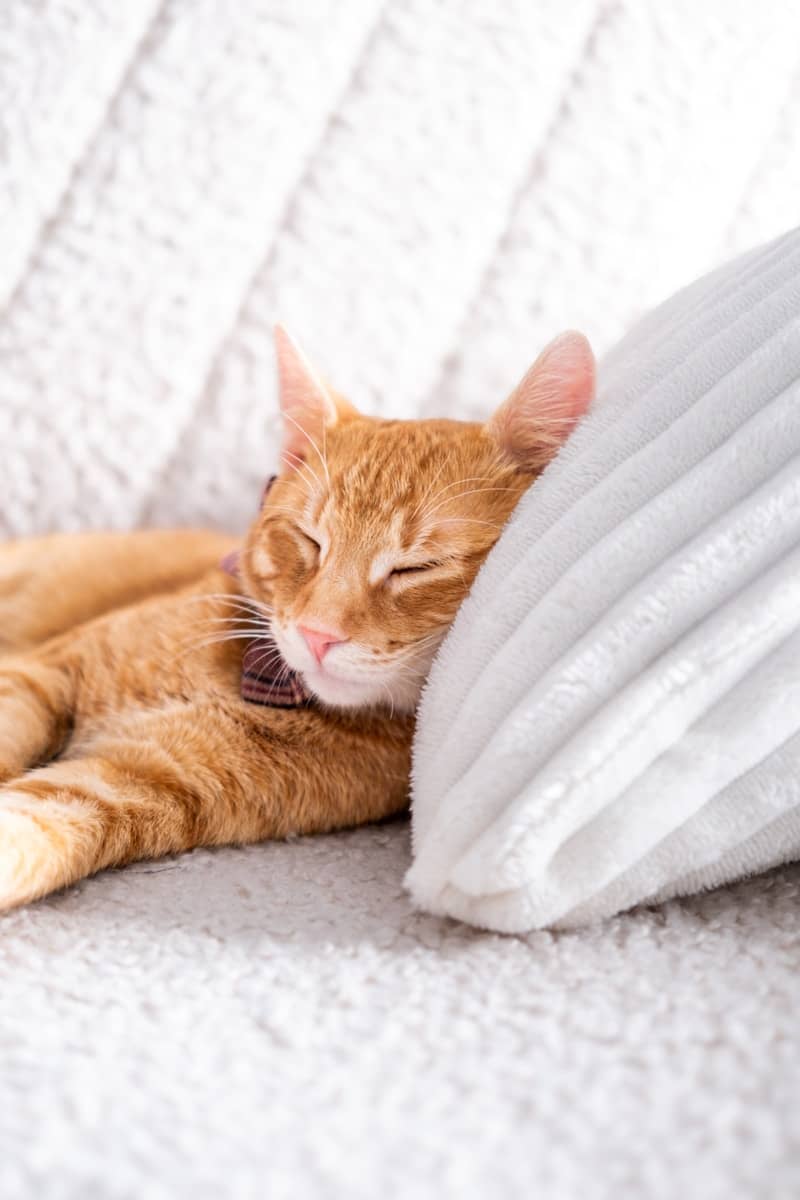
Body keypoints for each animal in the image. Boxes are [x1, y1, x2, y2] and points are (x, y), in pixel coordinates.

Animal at [0, 324, 592, 902]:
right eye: (309, 540)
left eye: (417, 567)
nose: (317, 634)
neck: (249, 681)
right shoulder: (44, 672)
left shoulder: (137, 781)